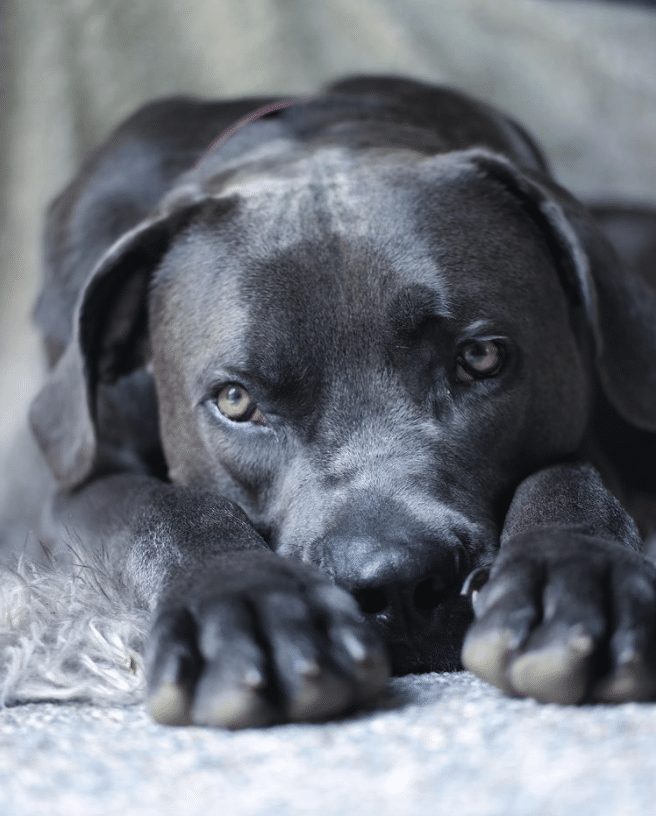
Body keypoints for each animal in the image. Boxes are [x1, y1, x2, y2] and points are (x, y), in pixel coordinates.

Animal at [19, 75, 656, 728]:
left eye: (480, 357)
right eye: (236, 400)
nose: (397, 584)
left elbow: (568, 476)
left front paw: (577, 573)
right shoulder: (77, 487)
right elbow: (166, 509)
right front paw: (246, 603)